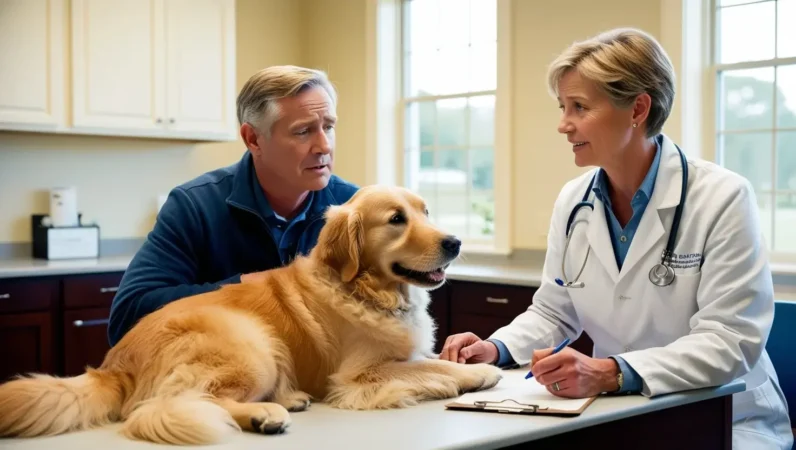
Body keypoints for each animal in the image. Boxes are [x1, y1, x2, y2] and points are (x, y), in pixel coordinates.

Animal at [0, 185, 500, 444]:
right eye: (396, 219)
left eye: (425, 211)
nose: (455, 242)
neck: (365, 289)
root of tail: (114, 365)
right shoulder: (360, 376)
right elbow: (427, 367)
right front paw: (477, 374)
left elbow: (430, 359)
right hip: (251, 341)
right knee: (168, 407)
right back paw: (266, 413)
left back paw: (285, 400)